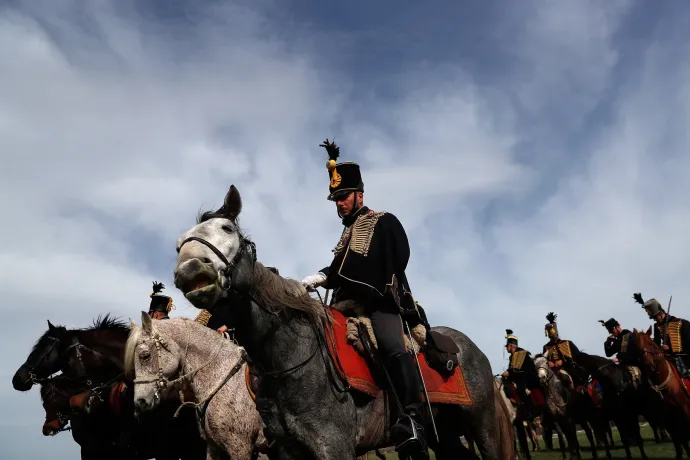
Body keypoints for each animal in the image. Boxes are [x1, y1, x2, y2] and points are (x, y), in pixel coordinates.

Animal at [168, 184, 510, 460]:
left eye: (226, 227)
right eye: (178, 243)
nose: (190, 271)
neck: (288, 356)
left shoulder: (333, 445)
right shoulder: (287, 450)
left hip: (482, 427)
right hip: (446, 435)